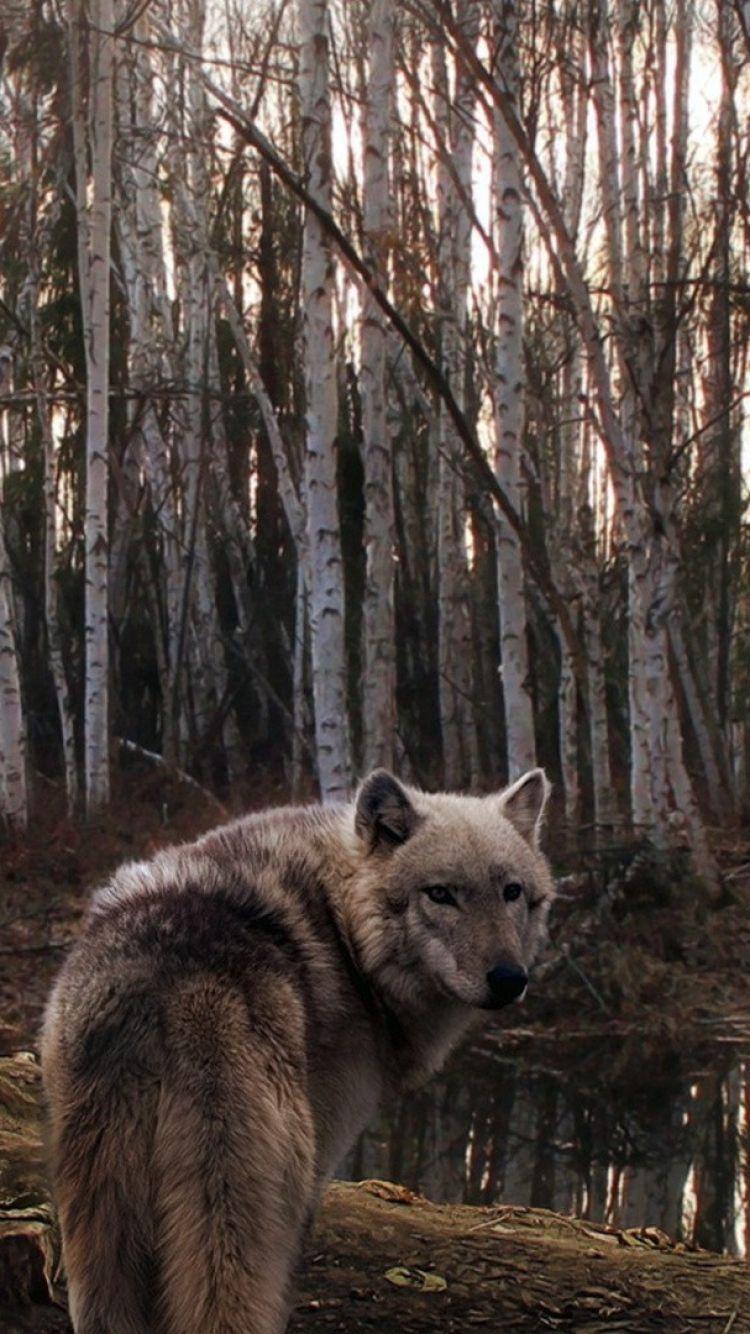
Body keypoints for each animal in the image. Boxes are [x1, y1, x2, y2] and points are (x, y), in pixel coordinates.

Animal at [41, 766, 554, 1334]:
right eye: (440, 894)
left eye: (511, 892)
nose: (509, 979)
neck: (344, 930)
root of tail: (173, 984)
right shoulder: (323, 1157)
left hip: (100, 1222)